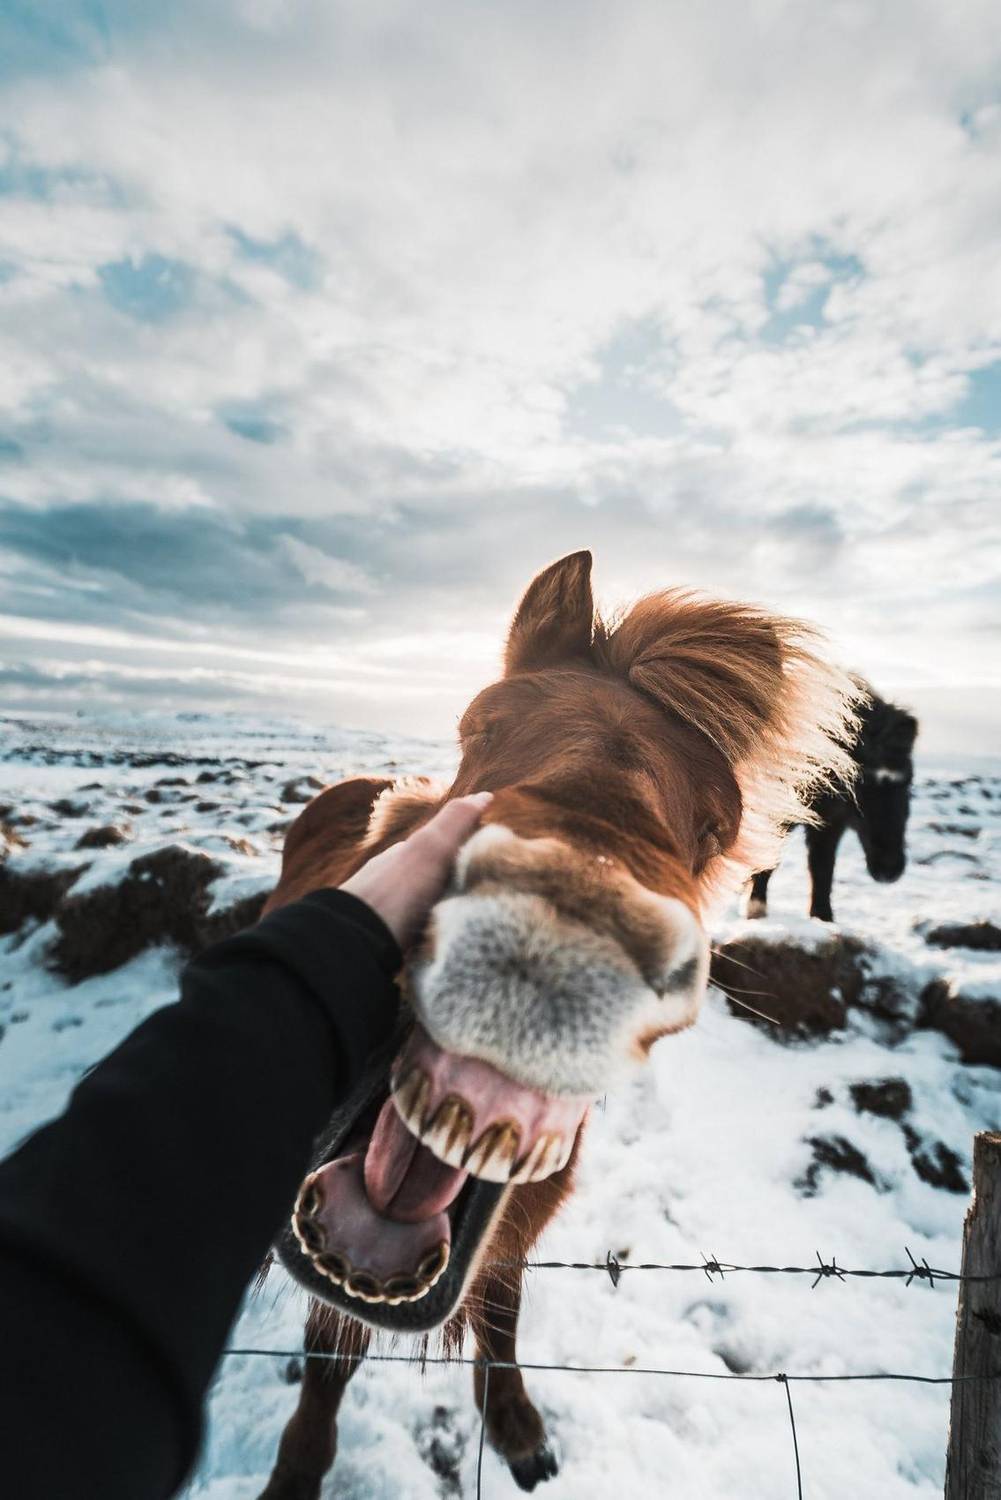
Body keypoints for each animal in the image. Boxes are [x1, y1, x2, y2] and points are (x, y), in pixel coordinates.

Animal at [256, 551, 857, 1498]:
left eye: (714, 826)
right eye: (479, 725)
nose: (563, 922)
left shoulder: (512, 1234)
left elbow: (500, 1323)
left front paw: (517, 1429)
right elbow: (328, 1362)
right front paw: (297, 1470)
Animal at [745, 687, 918, 923]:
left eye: (907, 781)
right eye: (860, 786)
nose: (889, 869)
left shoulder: (830, 821)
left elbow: (822, 867)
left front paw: (823, 917)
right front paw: (755, 909)